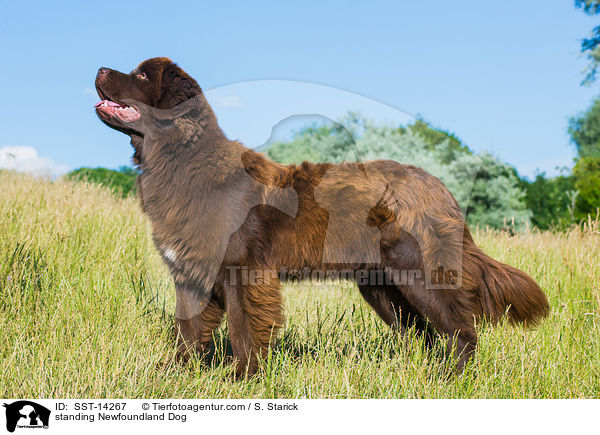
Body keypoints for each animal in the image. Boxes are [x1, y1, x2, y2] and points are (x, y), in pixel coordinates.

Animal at [95, 57, 548, 378]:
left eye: (139, 75)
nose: (98, 69)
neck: (180, 160)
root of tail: (437, 186)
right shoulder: (191, 273)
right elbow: (188, 330)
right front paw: (173, 375)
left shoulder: (243, 269)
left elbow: (244, 328)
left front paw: (242, 379)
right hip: (382, 285)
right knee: (420, 333)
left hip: (419, 272)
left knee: (459, 330)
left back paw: (452, 380)